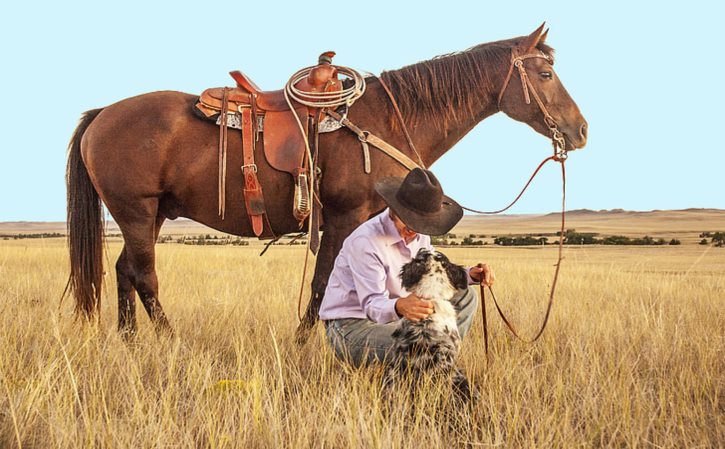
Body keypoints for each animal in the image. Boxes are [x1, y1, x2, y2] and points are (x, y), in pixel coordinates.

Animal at [65, 23, 588, 344]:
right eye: (545, 73)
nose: (581, 130)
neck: (386, 120)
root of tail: (103, 114)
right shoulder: (343, 216)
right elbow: (322, 284)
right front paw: (304, 344)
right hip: (136, 210)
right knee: (145, 276)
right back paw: (169, 340)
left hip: (150, 214)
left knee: (124, 271)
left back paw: (130, 341)